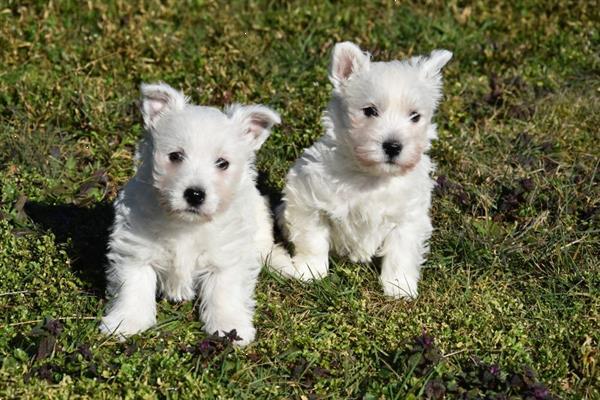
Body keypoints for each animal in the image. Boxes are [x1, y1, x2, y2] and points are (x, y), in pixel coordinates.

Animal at [101, 83, 290, 346]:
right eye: (175, 156)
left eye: (222, 163)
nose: (195, 194)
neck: (186, 224)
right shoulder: (136, 250)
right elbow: (133, 288)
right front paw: (125, 323)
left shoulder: (226, 258)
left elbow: (224, 294)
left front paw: (229, 329)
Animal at [274, 42, 452, 298]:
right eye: (370, 111)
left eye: (415, 116)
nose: (393, 146)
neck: (371, 176)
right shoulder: (308, 199)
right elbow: (312, 239)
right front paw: (310, 272)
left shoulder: (408, 217)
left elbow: (401, 252)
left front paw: (399, 287)